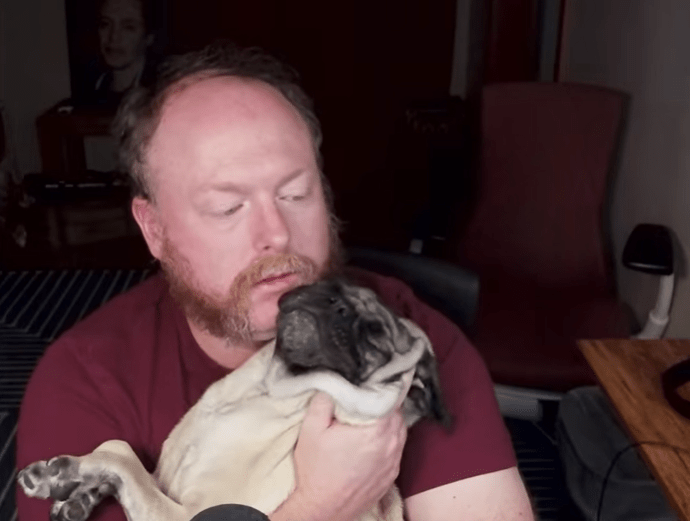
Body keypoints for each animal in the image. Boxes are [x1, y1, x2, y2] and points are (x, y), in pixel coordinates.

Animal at [18, 278, 452, 521]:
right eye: (331, 289)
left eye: (375, 334)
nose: (338, 306)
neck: (263, 390)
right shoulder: (160, 480)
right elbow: (118, 449)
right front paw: (75, 488)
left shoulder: (182, 514)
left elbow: (122, 460)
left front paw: (68, 472)